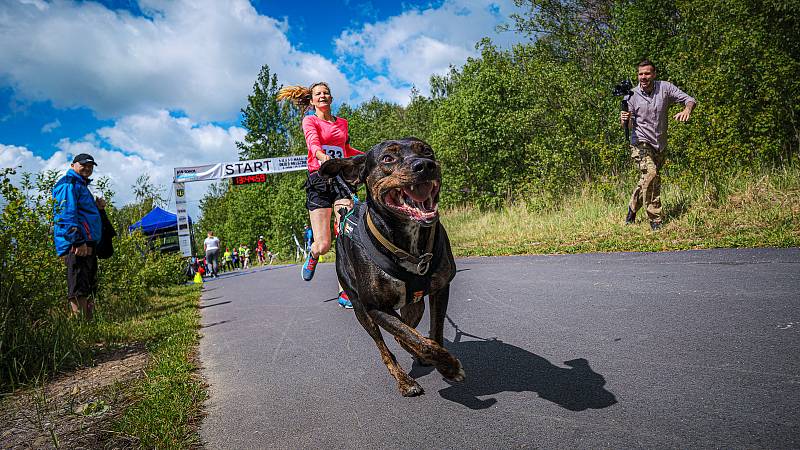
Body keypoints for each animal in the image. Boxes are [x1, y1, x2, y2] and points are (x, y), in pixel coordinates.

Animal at [322, 138, 466, 398]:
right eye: (388, 158)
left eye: (427, 151)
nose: (425, 165)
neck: (409, 244)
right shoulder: (375, 307)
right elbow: (414, 339)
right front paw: (450, 367)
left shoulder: (441, 289)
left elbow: (432, 334)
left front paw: (442, 363)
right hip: (362, 310)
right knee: (386, 348)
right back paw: (404, 380)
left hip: (414, 306)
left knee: (405, 333)